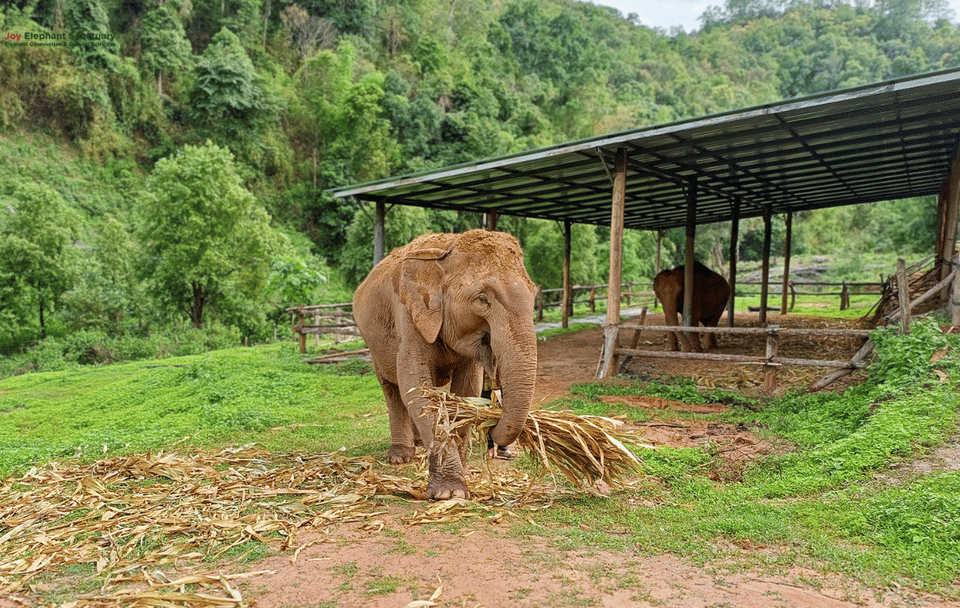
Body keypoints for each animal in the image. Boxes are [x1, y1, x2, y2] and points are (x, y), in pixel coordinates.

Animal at [352, 229, 538, 500]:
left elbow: (467, 390)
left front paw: (464, 476)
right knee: (392, 389)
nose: (492, 427)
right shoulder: (408, 316)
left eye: (535, 295)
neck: (448, 246)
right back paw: (400, 457)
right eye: (482, 299)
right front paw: (450, 493)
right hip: (372, 344)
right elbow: (416, 387)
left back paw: (419, 444)